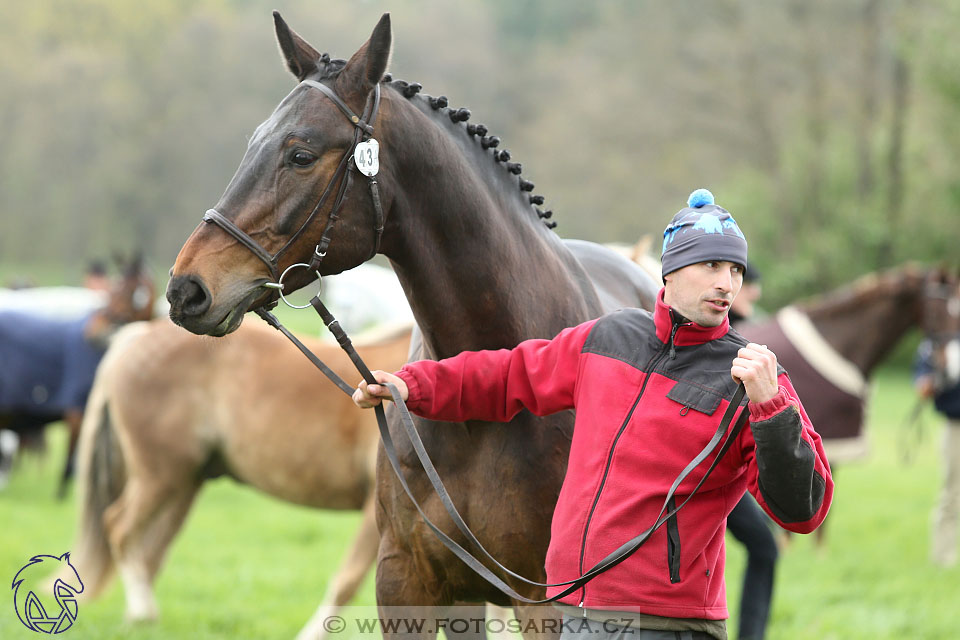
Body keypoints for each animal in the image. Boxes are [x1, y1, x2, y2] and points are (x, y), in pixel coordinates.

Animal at [67, 318, 410, 636]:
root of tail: (140, 334)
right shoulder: (377, 511)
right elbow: (348, 581)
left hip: (184, 484)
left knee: (150, 552)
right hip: (159, 477)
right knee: (120, 528)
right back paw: (140, 612)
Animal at [167, 12, 660, 636]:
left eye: (300, 155)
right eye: (252, 145)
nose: (186, 289)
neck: (489, 396)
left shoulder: (542, 599)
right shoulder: (410, 581)